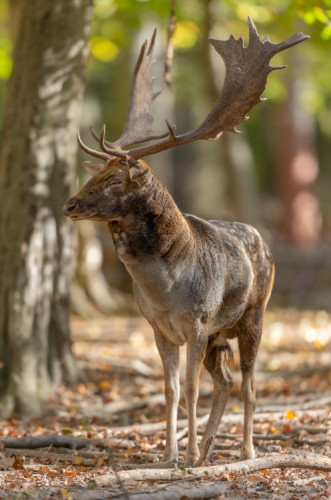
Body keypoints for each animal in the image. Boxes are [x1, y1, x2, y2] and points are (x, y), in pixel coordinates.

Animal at [63, 17, 308, 466]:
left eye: (115, 180)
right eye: (96, 174)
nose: (70, 204)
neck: (165, 291)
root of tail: (263, 240)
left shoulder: (197, 321)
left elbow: (192, 389)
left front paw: (187, 455)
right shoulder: (159, 328)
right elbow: (171, 390)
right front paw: (170, 456)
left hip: (253, 315)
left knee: (248, 384)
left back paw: (244, 449)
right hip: (218, 335)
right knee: (225, 381)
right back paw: (209, 447)